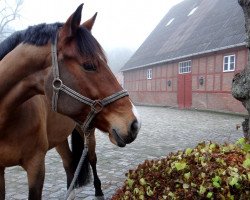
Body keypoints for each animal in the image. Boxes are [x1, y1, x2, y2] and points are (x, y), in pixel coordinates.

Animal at [0, 3, 141, 199]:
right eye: (89, 65)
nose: (135, 124)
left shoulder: (36, 166)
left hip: (87, 132)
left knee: (91, 159)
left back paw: (98, 190)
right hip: (59, 138)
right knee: (69, 164)